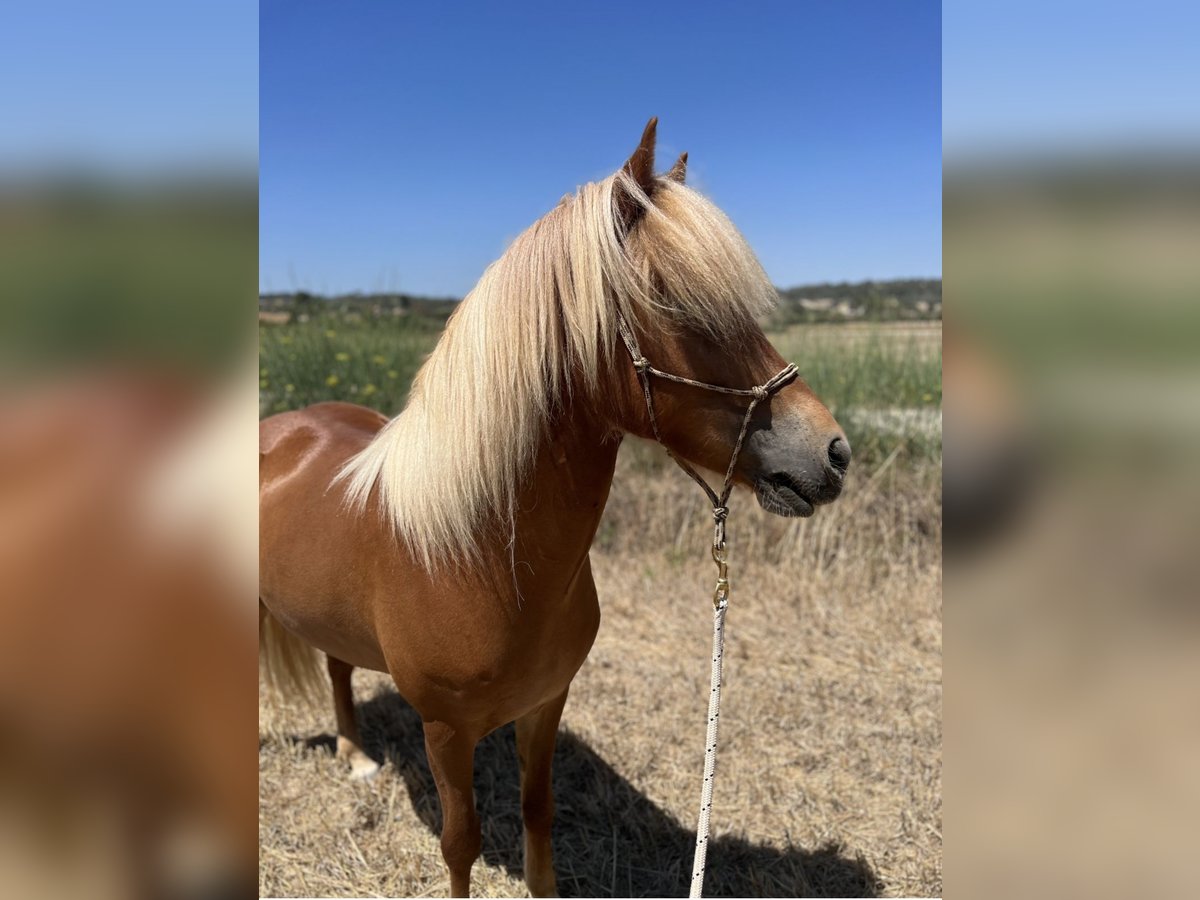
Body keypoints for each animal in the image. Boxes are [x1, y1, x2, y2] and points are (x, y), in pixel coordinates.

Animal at [259, 118, 850, 897]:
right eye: (678, 306)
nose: (834, 453)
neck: (478, 558)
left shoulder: (545, 705)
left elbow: (537, 810)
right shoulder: (445, 731)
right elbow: (460, 843)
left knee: (335, 667)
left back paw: (355, 755)